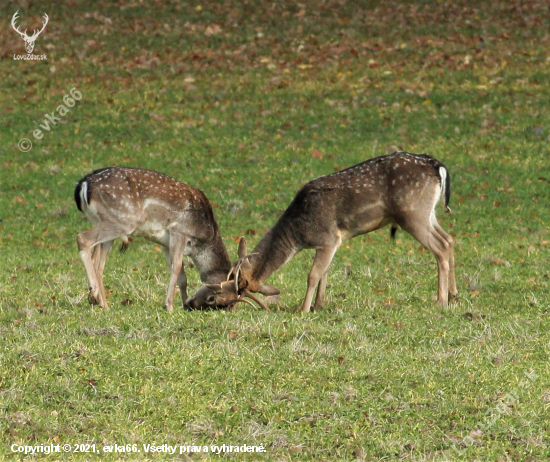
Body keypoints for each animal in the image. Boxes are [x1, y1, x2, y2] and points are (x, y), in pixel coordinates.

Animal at [75, 166, 235, 310]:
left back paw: (101, 303)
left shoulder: (165, 243)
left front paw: (182, 304)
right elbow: (177, 267)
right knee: (82, 238)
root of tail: (83, 185)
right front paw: (169, 306)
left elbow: (181, 276)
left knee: (98, 262)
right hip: (122, 221)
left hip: (102, 222)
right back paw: (95, 294)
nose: (192, 306)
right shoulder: (179, 231)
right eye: (213, 298)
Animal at [188, 153, 460, 312]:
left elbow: (313, 274)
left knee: (440, 247)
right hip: (428, 213)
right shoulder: (332, 243)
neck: (297, 234)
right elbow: (325, 273)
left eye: (225, 295)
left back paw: (440, 301)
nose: (196, 304)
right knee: (449, 239)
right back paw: (454, 296)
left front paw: (304, 309)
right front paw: (319, 305)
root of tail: (438, 166)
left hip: (412, 213)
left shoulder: (328, 238)